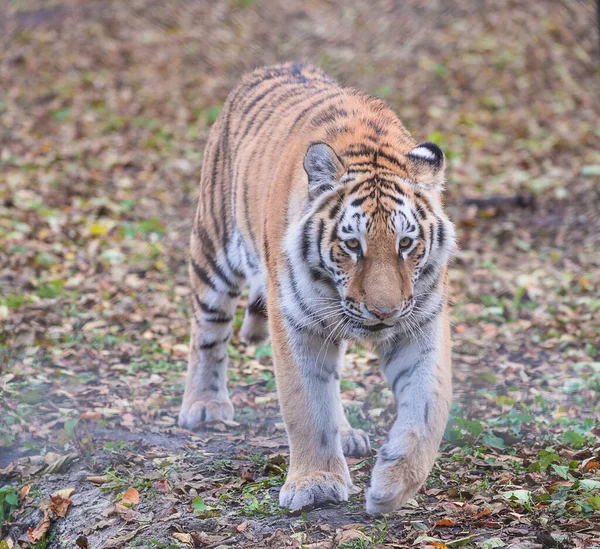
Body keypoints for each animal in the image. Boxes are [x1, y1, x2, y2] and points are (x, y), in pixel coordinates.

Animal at [178, 64, 454, 512]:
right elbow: (306, 405)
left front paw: (393, 484)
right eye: (353, 245)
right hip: (214, 249)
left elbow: (428, 405)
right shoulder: (294, 321)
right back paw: (204, 406)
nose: (384, 313)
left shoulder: (421, 322)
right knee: (207, 332)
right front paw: (316, 483)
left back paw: (348, 434)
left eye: (406, 244)